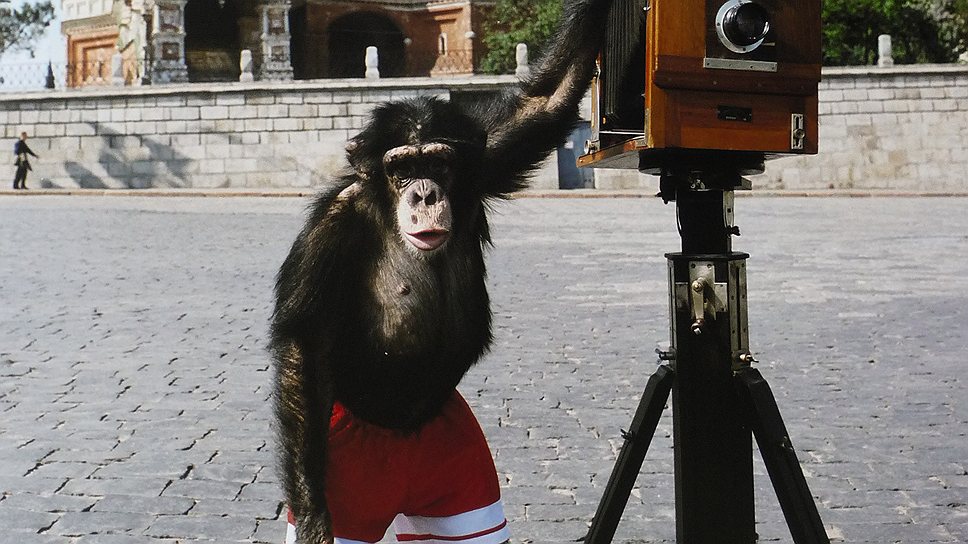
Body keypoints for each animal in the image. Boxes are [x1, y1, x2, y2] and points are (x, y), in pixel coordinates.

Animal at [266, 2, 612, 540]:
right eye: (402, 168)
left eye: (436, 163)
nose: (425, 193)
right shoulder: (330, 229)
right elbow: (305, 344)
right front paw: (313, 514)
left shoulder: (483, 161)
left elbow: (545, 102)